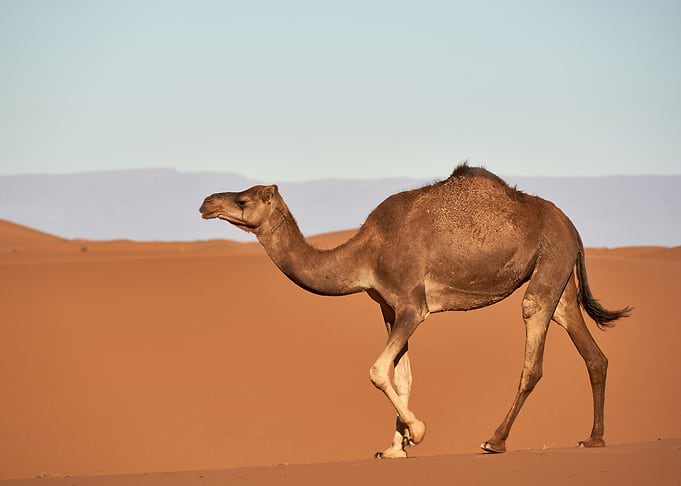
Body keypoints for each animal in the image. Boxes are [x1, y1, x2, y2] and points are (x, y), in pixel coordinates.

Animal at [199, 164, 631, 458]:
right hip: (560, 275)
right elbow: (401, 375)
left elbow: (377, 370)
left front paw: (417, 432)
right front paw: (395, 447)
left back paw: (495, 440)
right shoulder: (388, 308)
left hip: (549, 262)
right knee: (591, 350)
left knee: (533, 351)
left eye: (243, 200)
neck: (365, 254)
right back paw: (594, 438)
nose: (206, 202)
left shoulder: (412, 305)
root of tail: (572, 228)